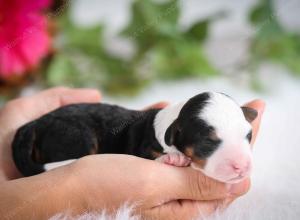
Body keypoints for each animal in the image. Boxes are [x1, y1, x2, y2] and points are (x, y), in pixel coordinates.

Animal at [11, 92, 255, 183]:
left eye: (248, 135)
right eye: (207, 142)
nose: (242, 167)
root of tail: (35, 123)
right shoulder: (141, 147)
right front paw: (174, 158)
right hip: (77, 137)